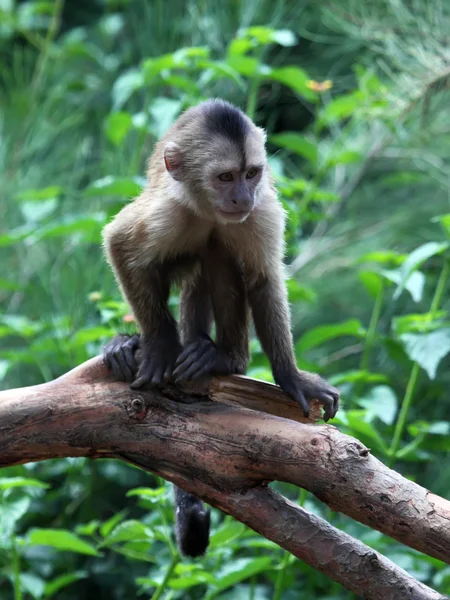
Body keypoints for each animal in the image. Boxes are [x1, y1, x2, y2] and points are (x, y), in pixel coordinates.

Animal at [103, 99, 342, 556]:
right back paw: (128, 345)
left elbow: (265, 279)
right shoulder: (167, 210)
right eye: (225, 177)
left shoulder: (261, 210)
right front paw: (159, 346)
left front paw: (291, 377)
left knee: (219, 252)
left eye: (252, 174)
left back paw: (223, 357)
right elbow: (120, 244)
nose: (241, 196)